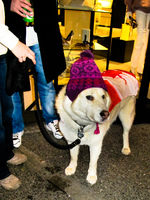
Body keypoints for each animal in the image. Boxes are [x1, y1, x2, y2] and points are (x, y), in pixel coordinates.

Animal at [55, 50, 138, 184]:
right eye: (89, 97)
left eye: (103, 96)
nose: (106, 114)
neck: (82, 125)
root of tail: (127, 72)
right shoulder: (71, 141)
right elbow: (73, 157)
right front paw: (72, 168)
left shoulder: (95, 145)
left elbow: (93, 162)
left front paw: (92, 175)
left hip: (126, 117)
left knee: (125, 133)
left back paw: (126, 148)